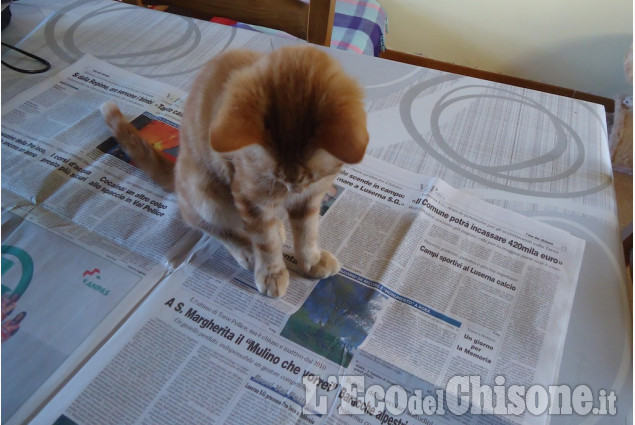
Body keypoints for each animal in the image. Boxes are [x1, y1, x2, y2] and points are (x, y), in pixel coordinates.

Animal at [99, 44, 368, 296]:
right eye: (276, 176)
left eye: (311, 177)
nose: (293, 190)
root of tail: (176, 175)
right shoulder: (249, 196)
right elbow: (266, 242)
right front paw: (271, 271)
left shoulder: (310, 197)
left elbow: (307, 231)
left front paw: (311, 260)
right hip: (204, 193)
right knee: (207, 223)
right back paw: (246, 250)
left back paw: (278, 228)